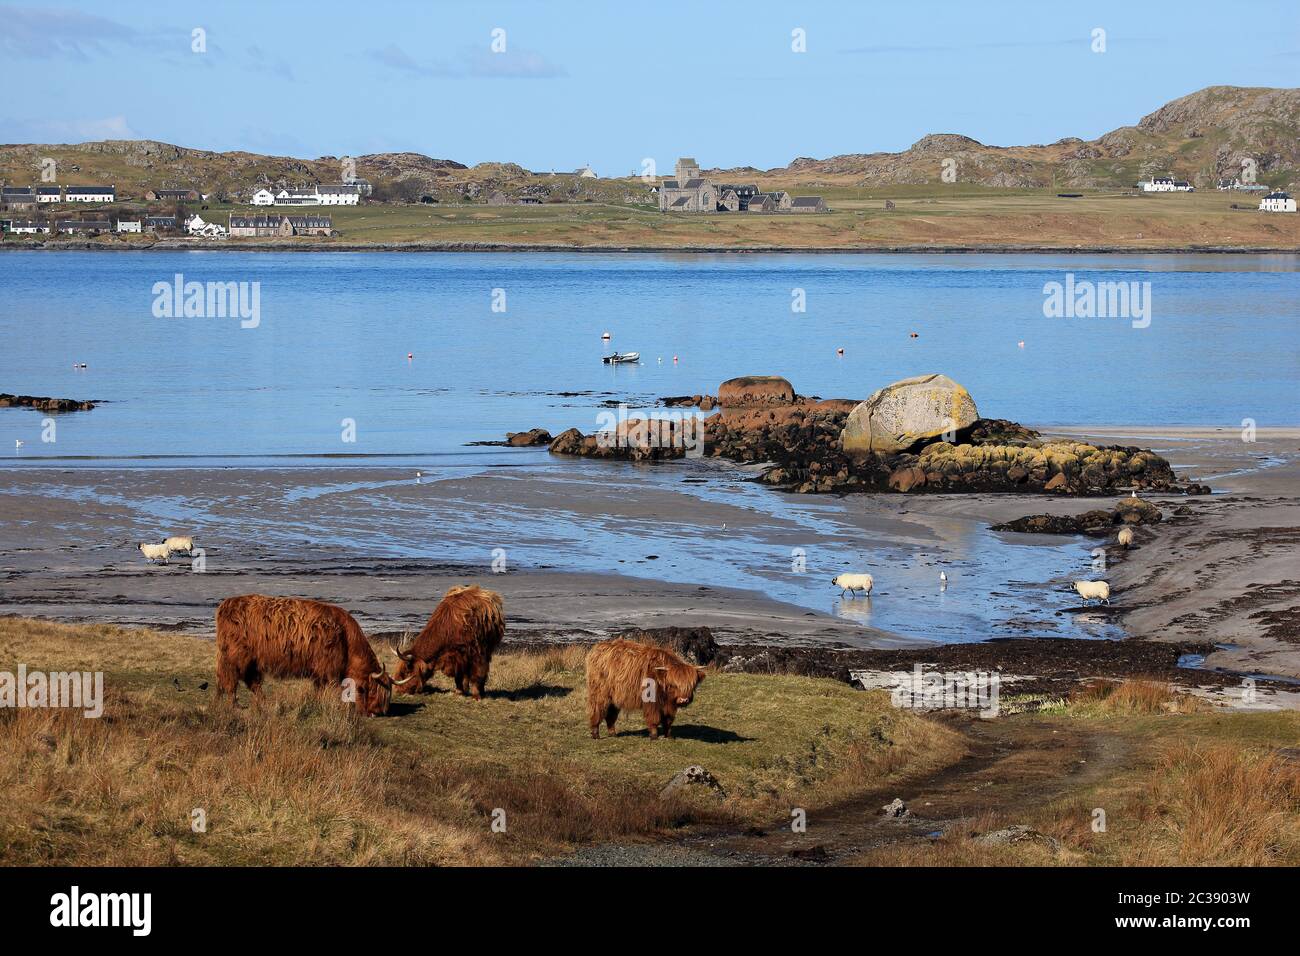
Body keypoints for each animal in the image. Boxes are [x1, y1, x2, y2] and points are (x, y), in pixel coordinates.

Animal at [215, 595, 393, 716]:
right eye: (373, 690)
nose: (377, 712)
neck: (346, 639)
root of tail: (226, 604)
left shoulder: (319, 670)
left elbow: (319, 688)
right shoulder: (328, 668)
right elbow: (330, 687)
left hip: (251, 661)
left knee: (250, 682)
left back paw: (264, 702)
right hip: (235, 657)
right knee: (230, 679)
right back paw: (234, 705)